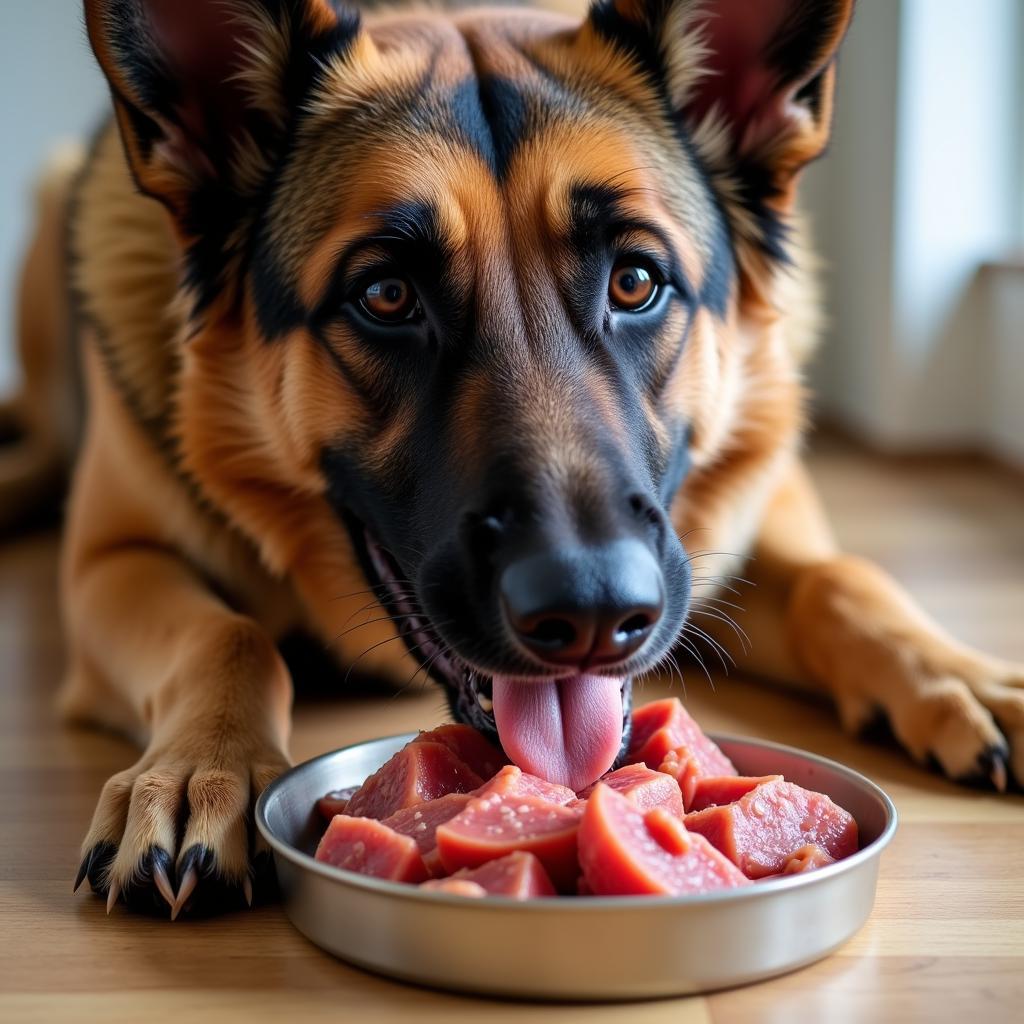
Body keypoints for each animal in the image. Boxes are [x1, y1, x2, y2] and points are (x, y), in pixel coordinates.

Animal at [4, 0, 1019, 913]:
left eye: (635, 281)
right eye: (386, 295)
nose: (593, 614)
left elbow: (840, 579)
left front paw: (958, 674)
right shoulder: (111, 563)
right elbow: (230, 634)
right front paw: (196, 772)